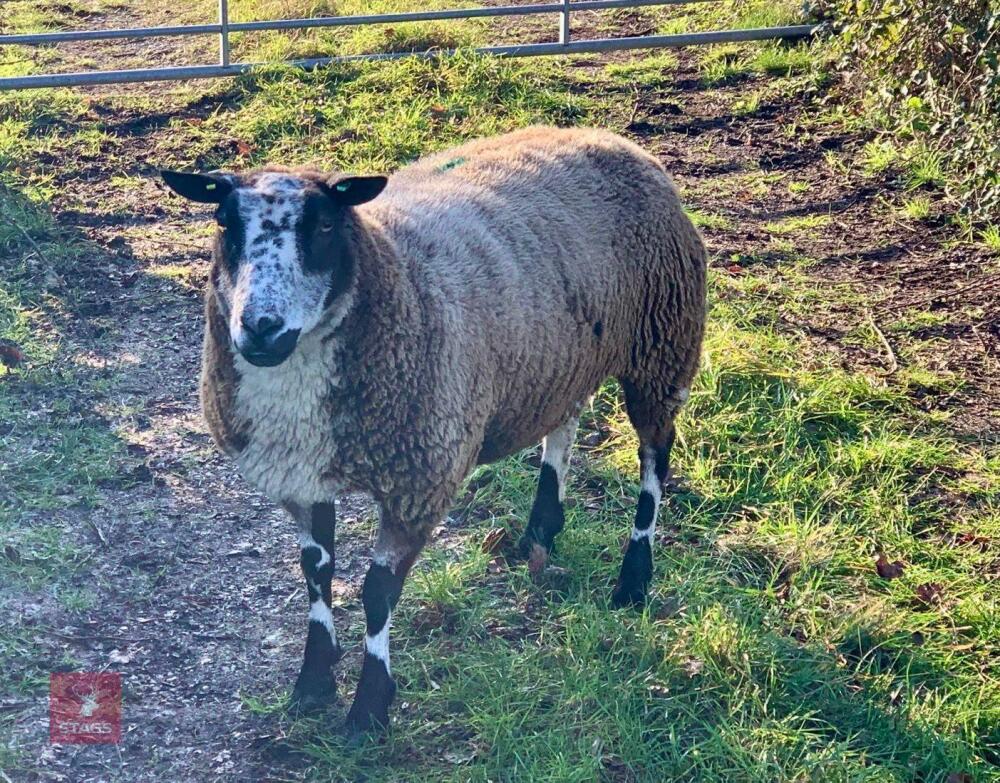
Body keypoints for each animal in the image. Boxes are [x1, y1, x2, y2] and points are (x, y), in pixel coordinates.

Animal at [160, 125, 707, 732]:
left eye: (324, 225)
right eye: (224, 221)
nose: (261, 328)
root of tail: (607, 136)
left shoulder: (418, 478)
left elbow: (378, 593)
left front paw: (369, 709)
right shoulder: (300, 476)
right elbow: (316, 573)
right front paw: (314, 682)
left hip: (662, 342)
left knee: (655, 457)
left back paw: (633, 580)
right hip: (564, 355)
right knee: (564, 422)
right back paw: (541, 530)